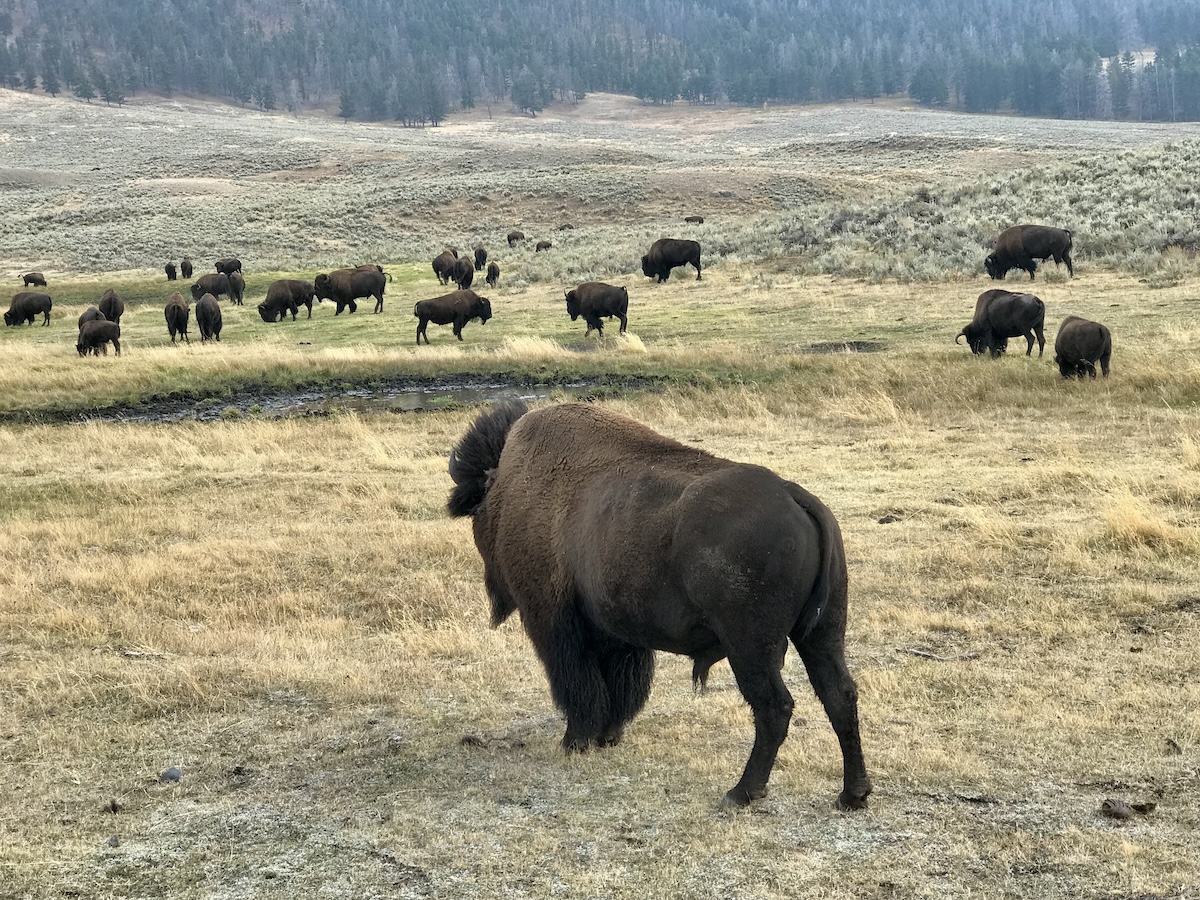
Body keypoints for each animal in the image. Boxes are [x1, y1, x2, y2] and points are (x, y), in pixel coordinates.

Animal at [448, 402, 871, 809]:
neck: (510, 484)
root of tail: (794, 495)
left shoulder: (554, 621)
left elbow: (578, 683)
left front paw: (576, 740)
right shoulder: (617, 632)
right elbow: (617, 685)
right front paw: (608, 735)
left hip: (751, 646)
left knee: (775, 707)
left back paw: (741, 793)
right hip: (822, 633)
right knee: (840, 695)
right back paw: (853, 795)